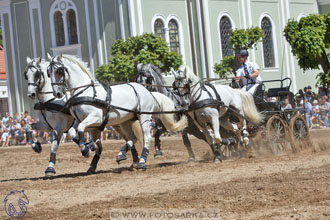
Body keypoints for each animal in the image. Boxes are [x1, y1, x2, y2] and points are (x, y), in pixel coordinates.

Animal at [45, 54, 188, 169]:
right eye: (48, 72)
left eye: (59, 70)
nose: (57, 93)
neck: (86, 92)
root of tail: (148, 92)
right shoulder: (85, 122)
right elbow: (73, 131)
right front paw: (88, 147)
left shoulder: (96, 117)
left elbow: (80, 128)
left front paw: (86, 148)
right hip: (125, 121)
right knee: (132, 138)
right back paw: (122, 153)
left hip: (144, 117)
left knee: (147, 137)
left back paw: (142, 161)